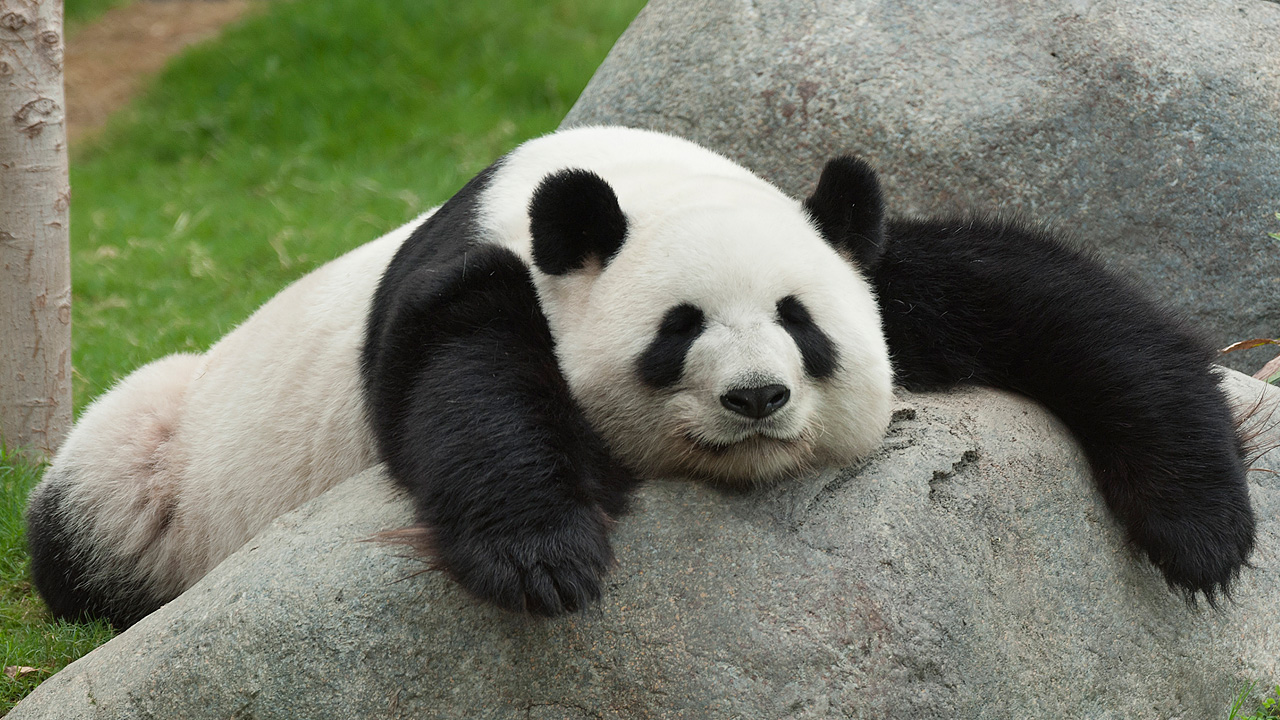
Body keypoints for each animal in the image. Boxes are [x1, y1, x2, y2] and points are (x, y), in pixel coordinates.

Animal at [25, 126, 1255, 628]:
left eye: (800, 326)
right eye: (678, 331)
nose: (755, 398)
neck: (631, 179)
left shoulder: (852, 247)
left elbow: (1053, 303)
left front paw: (1202, 531)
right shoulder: (477, 274)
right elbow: (462, 385)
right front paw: (546, 556)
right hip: (158, 458)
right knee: (91, 512)